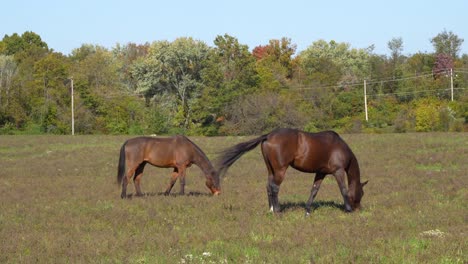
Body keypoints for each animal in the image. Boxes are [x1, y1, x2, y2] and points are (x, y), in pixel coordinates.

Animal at [218, 128, 368, 214]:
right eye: (362, 193)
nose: (358, 209)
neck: (339, 147)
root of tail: (268, 136)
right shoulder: (338, 171)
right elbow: (343, 189)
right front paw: (348, 209)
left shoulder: (321, 173)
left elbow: (314, 190)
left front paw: (307, 210)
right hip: (280, 170)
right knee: (274, 187)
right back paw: (278, 211)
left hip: (271, 170)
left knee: (268, 186)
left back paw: (271, 209)